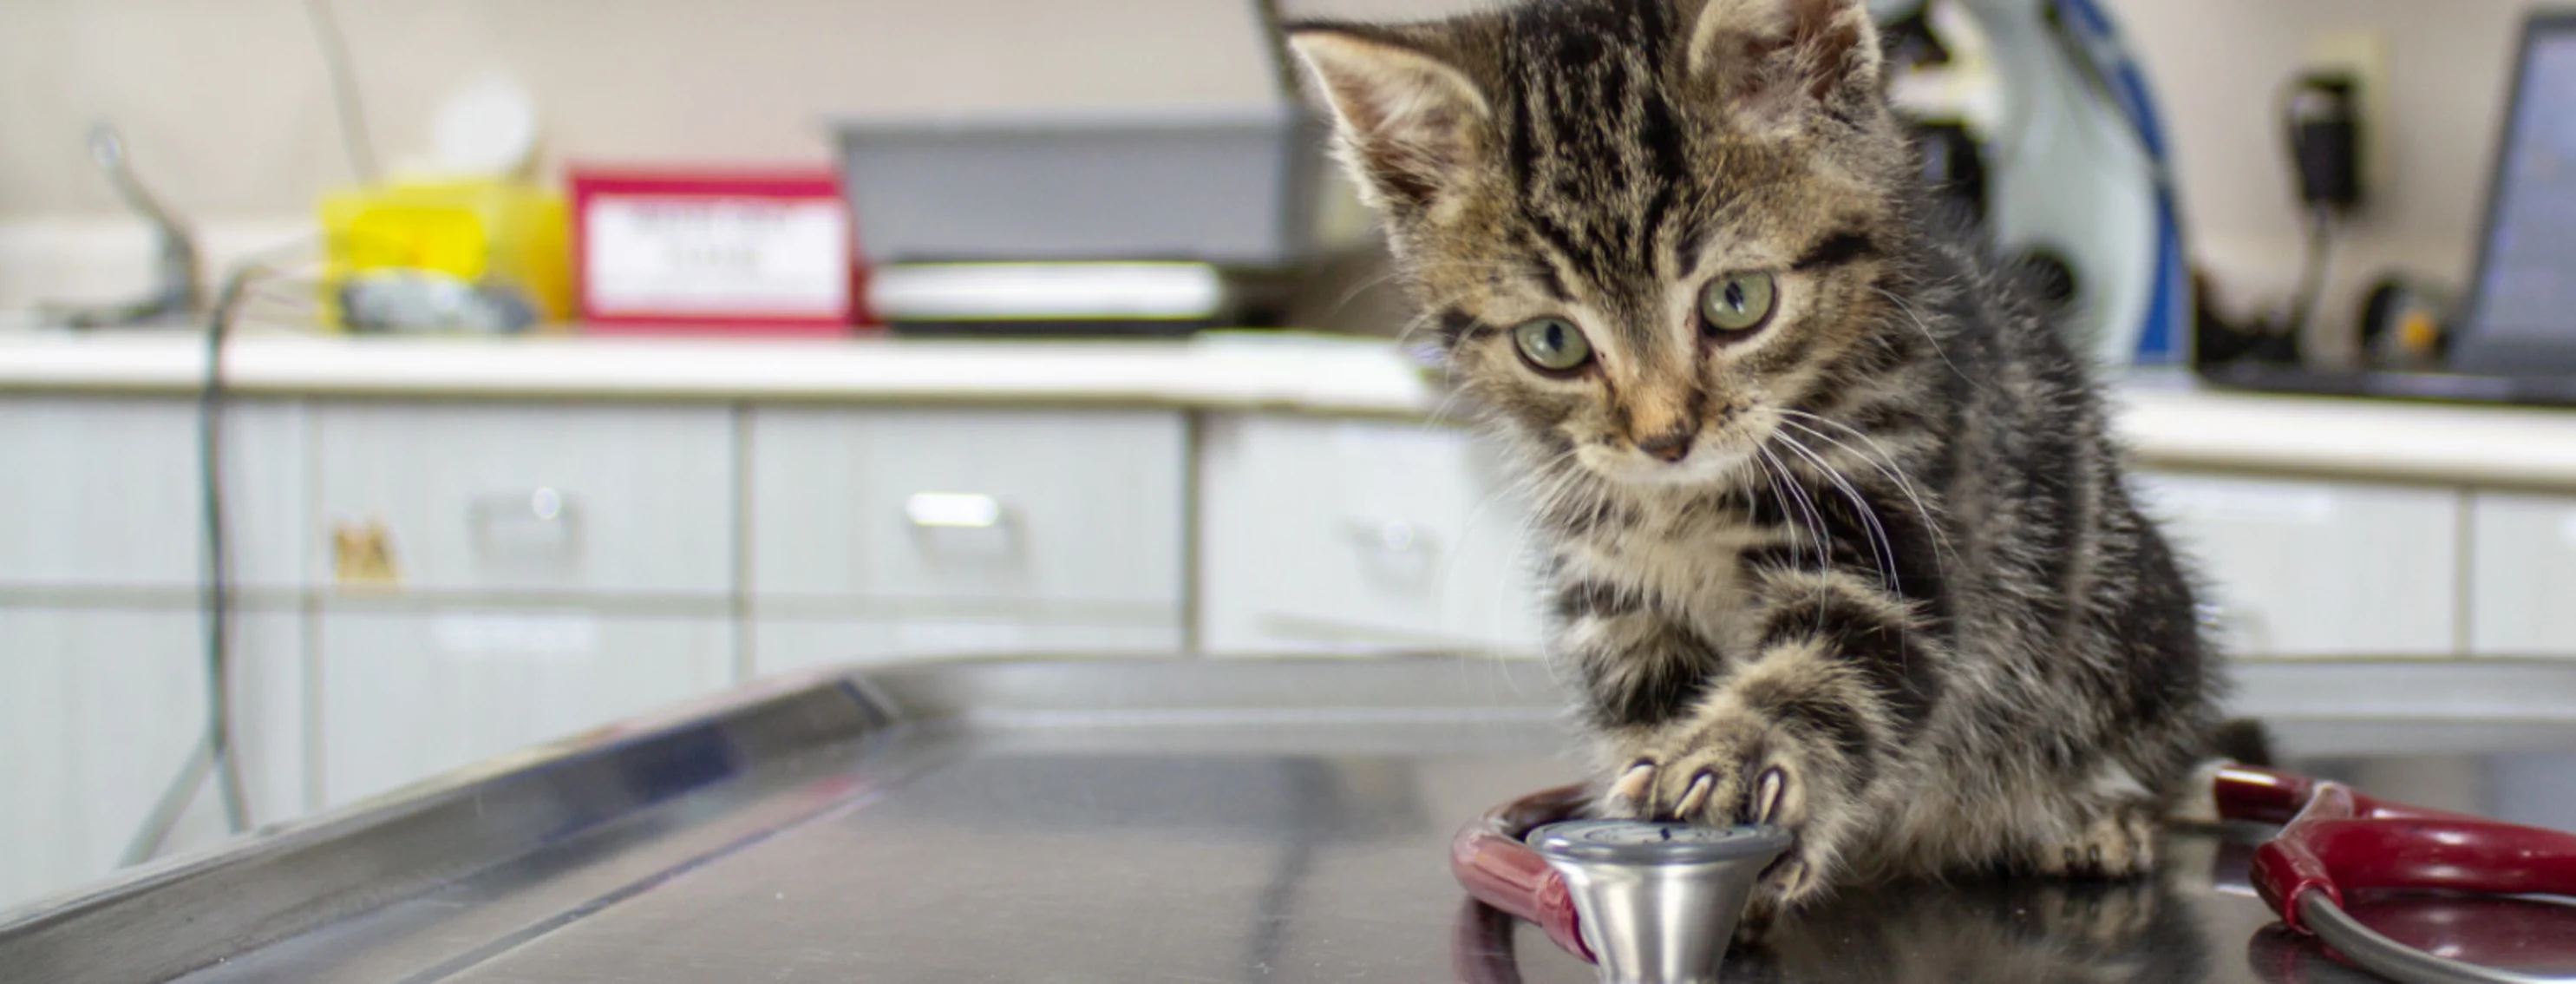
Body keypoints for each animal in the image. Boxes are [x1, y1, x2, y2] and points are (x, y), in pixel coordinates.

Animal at [1298, 0, 2226, 922]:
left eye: (1736, 301)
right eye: (1553, 342)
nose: (1664, 437)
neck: (1686, 503)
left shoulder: (1896, 514)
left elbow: (1827, 668)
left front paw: (1735, 766)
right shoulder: (1612, 581)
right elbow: (1647, 695)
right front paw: (1658, 809)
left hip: (2130, 623)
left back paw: (2095, 818)